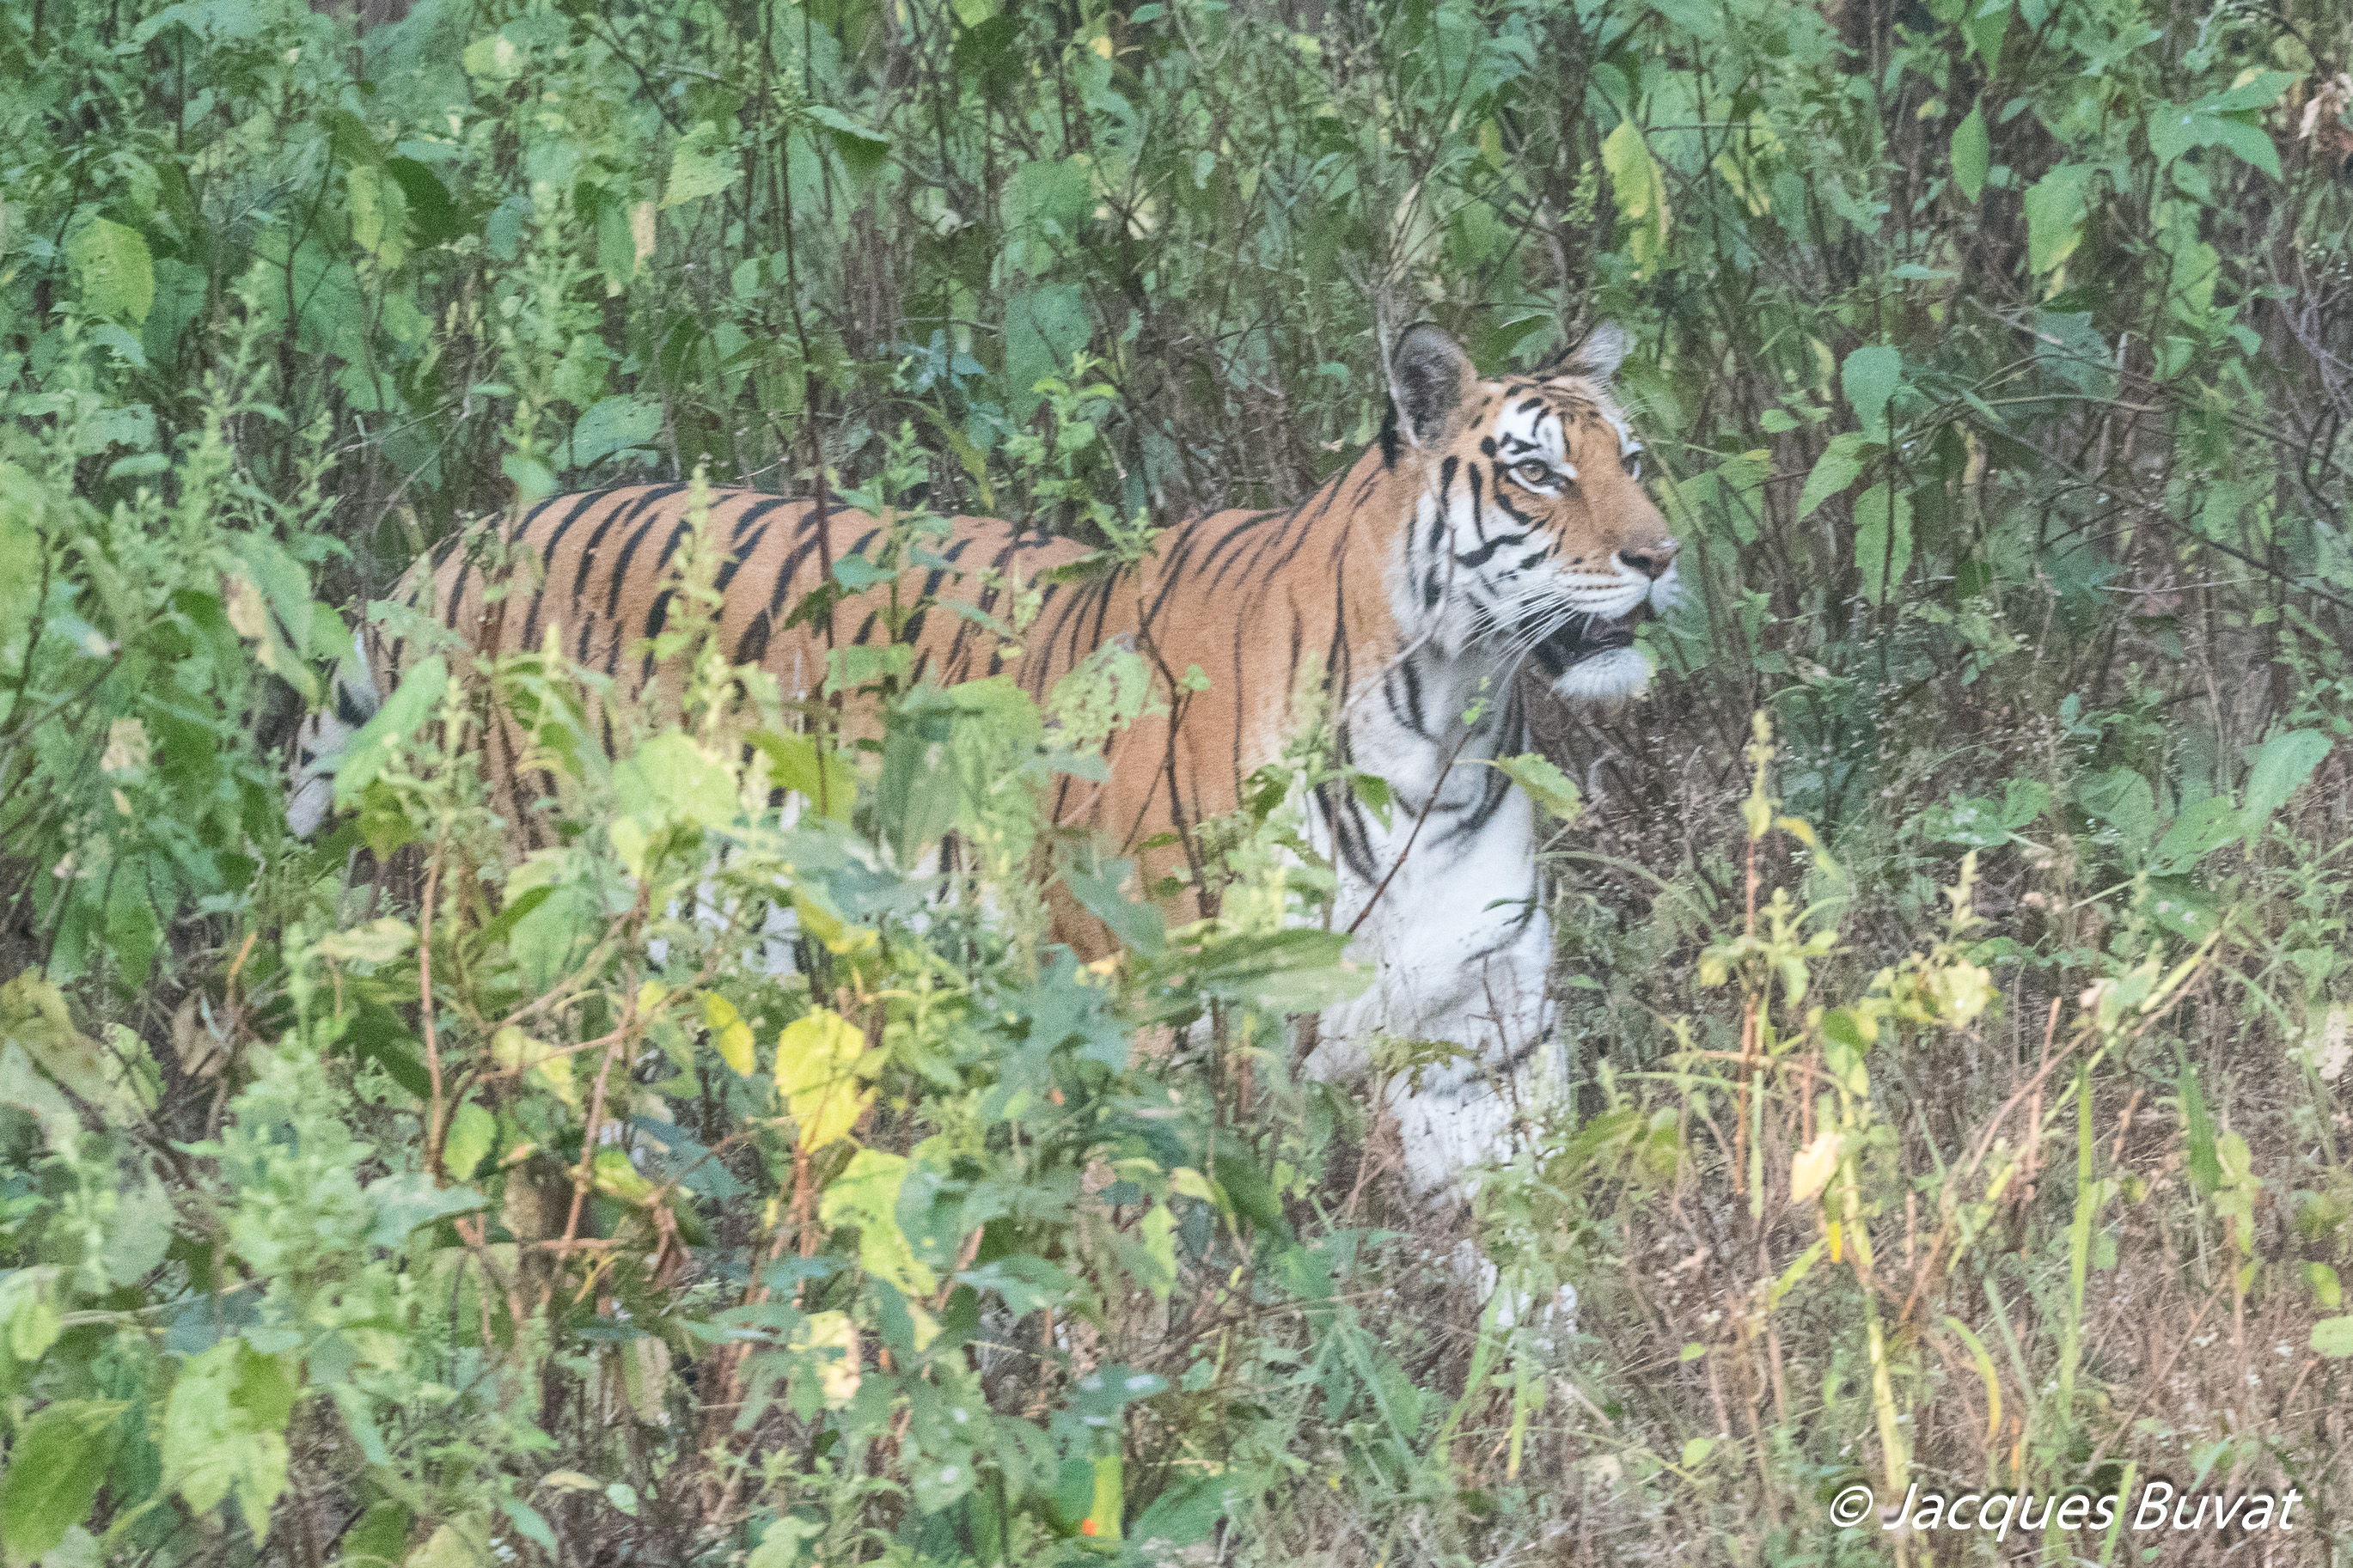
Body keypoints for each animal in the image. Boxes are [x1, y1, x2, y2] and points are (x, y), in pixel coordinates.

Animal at [290, 320, 1678, 1205]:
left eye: (1633, 460)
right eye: (1536, 471)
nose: (1663, 556)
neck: (1443, 723)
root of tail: (454, 552)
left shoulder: (1484, 1031)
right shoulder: (1152, 1033)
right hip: (533, 951)